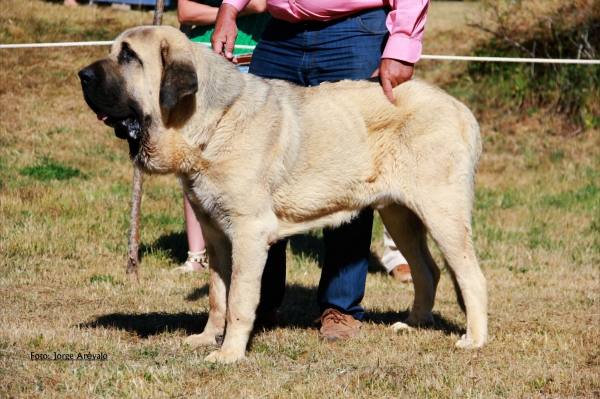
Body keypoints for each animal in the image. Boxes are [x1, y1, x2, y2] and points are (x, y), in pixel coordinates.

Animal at [78, 24, 488, 362]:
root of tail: (461, 109)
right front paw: (207, 338)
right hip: (399, 214)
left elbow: (239, 299)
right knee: (427, 270)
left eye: (129, 56)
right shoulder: (215, 235)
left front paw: (229, 354)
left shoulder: (249, 232)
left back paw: (474, 339)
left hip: (441, 212)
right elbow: (217, 295)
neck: (212, 123)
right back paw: (414, 323)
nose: (82, 75)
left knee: (471, 276)